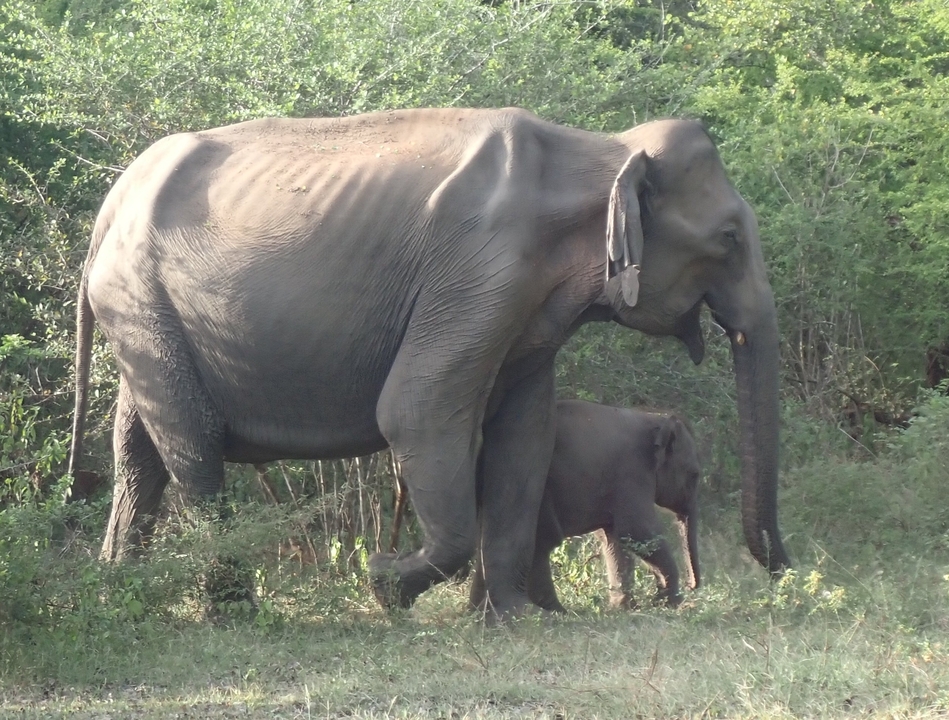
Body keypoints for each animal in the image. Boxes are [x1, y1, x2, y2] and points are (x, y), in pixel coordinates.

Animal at [468, 400, 701, 613]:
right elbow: (636, 531)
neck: (653, 418)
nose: (692, 586)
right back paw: (556, 611)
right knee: (543, 540)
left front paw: (624, 608)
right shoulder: (632, 472)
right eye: (694, 475)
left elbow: (613, 538)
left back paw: (479, 610)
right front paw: (669, 604)